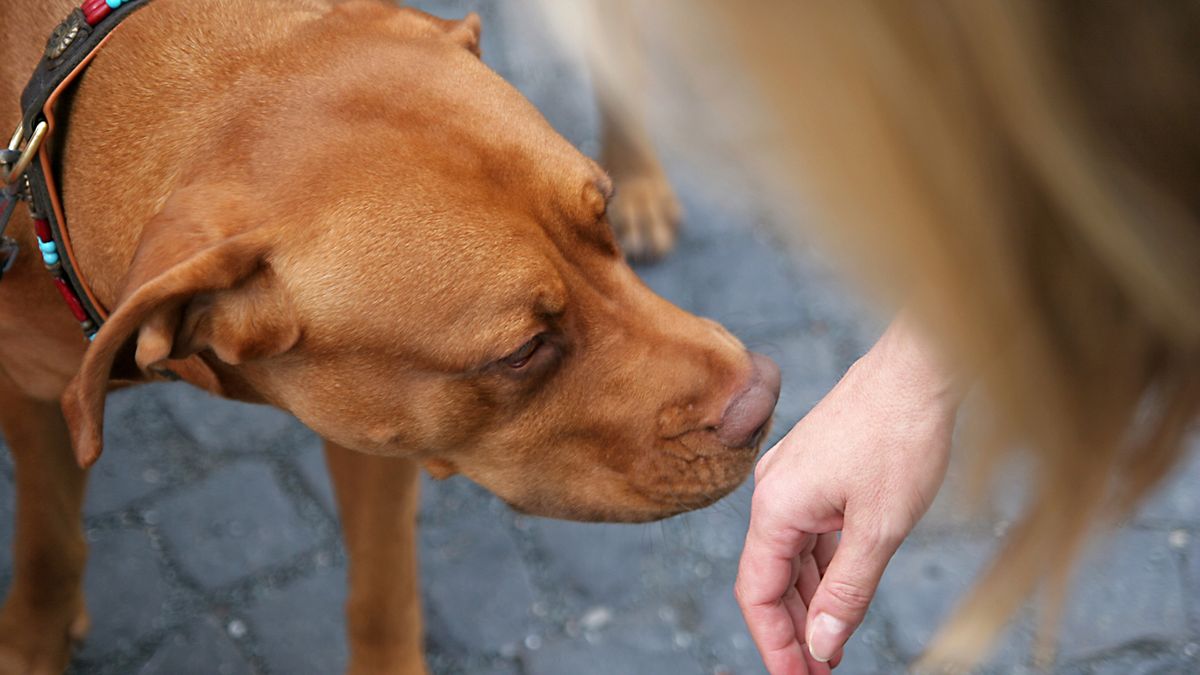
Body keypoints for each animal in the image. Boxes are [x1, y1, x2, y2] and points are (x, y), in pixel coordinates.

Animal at [0, 2, 777, 667]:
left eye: (603, 217)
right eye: (520, 351)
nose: (766, 400)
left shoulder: (380, 439)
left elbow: (383, 591)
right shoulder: (32, 397)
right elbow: (46, 543)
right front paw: (33, 642)